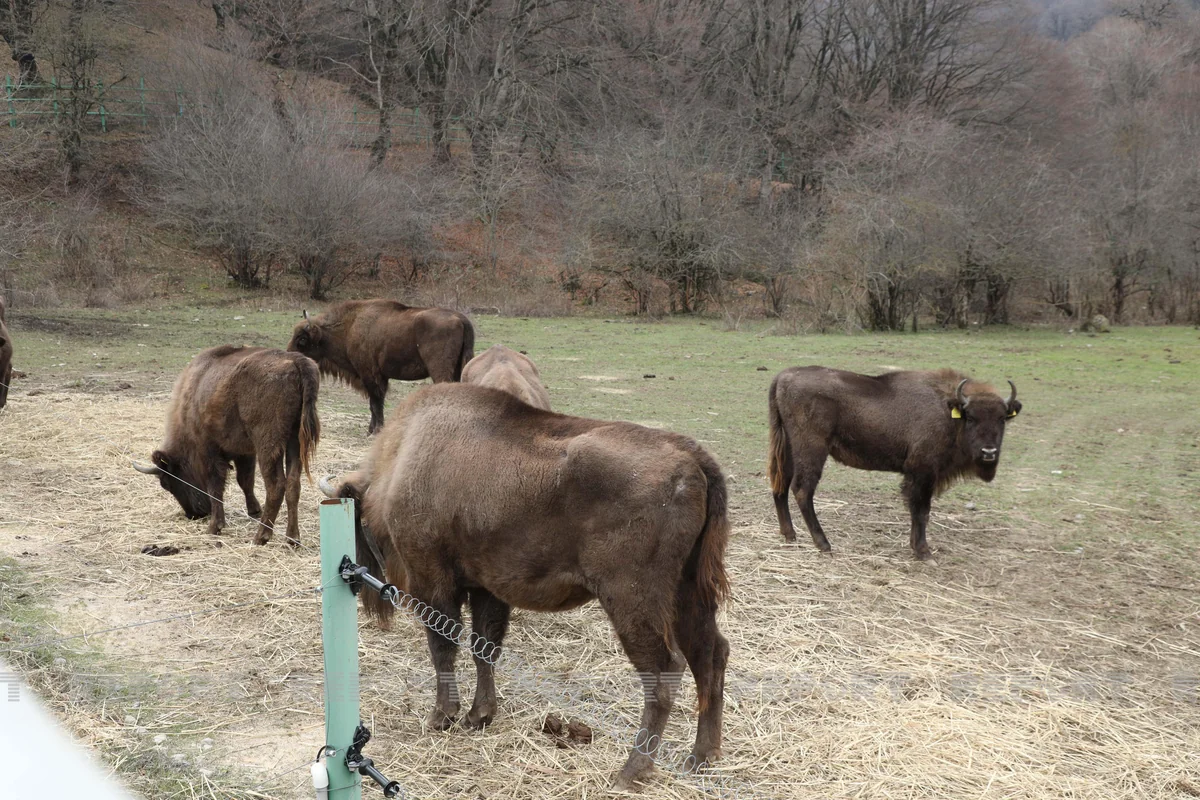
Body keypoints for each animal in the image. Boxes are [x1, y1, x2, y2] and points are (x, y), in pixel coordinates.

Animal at [134, 346, 321, 546]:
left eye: (166, 483)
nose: (194, 514)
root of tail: (295, 360)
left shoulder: (208, 449)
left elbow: (215, 485)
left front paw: (215, 527)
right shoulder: (245, 453)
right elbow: (245, 481)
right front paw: (254, 510)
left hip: (268, 445)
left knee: (276, 485)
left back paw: (260, 537)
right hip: (295, 441)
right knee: (293, 484)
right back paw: (292, 538)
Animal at [286, 299, 474, 434]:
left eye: (301, 339)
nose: (289, 355)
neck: (350, 327)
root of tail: (461, 319)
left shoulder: (370, 375)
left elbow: (375, 402)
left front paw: (376, 431)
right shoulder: (380, 377)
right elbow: (376, 403)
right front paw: (371, 430)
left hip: (440, 370)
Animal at [319, 382, 730, 790]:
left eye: (353, 518)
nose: (362, 587)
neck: (402, 457)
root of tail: (693, 458)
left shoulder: (433, 582)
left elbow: (443, 647)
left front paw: (443, 717)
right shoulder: (485, 588)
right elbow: (483, 647)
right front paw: (479, 715)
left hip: (633, 600)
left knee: (664, 670)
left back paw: (630, 773)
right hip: (687, 593)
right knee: (711, 653)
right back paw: (701, 757)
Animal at [768, 367, 1022, 559]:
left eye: (1002, 418)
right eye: (971, 418)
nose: (988, 452)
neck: (949, 409)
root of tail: (783, 376)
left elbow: (918, 511)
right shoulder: (922, 473)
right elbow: (921, 511)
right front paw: (923, 552)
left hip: (788, 447)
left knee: (780, 484)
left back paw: (789, 535)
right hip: (812, 451)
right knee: (802, 490)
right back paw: (824, 544)